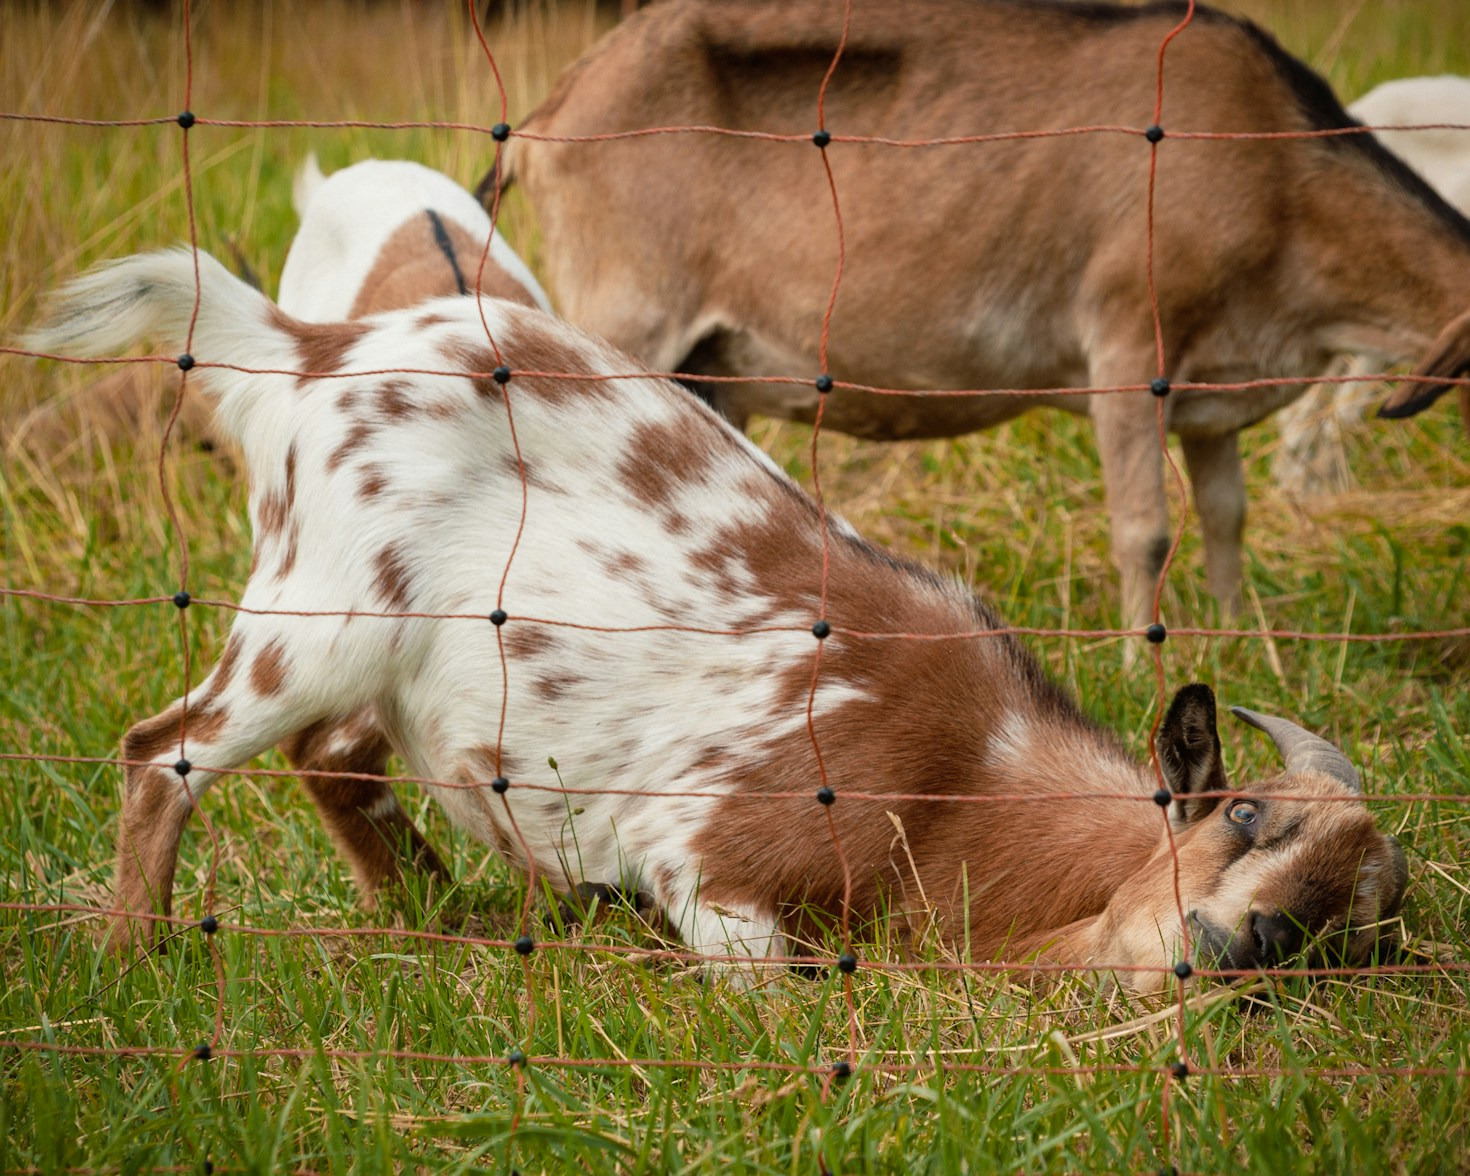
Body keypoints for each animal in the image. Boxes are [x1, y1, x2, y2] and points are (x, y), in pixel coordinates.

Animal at [499, 0, 1470, 629]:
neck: (1283, 183)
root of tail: (554, 107)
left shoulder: (1214, 390)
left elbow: (1227, 518)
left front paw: (1241, 643)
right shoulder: (1128, 339)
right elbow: (1147, 532)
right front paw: (1138, 657)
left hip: (711, 369)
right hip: (628, 315)